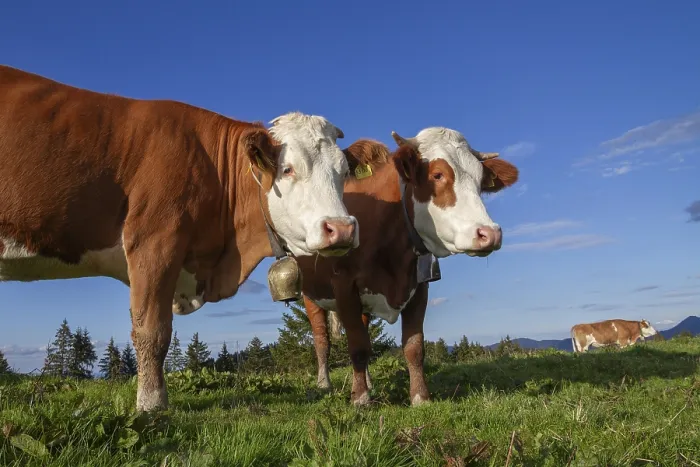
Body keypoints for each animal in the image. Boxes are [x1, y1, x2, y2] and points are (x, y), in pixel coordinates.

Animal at [0, 65, 359, 412]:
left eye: (344, 172)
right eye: (288, 169)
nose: (341, 227)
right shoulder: (154, 241)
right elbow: (152, 331)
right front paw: (152, 405)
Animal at [296, 129, 519, 406]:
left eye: (480, 181)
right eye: (437, 174)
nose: (490, 234)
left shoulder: (419, 286)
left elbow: (414, 347)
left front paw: (420, 396)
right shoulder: (344, 285)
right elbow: (357, 346)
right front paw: (360, 398)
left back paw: (368, 380)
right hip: (310, 295)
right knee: (322, 340)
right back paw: (324, 383)